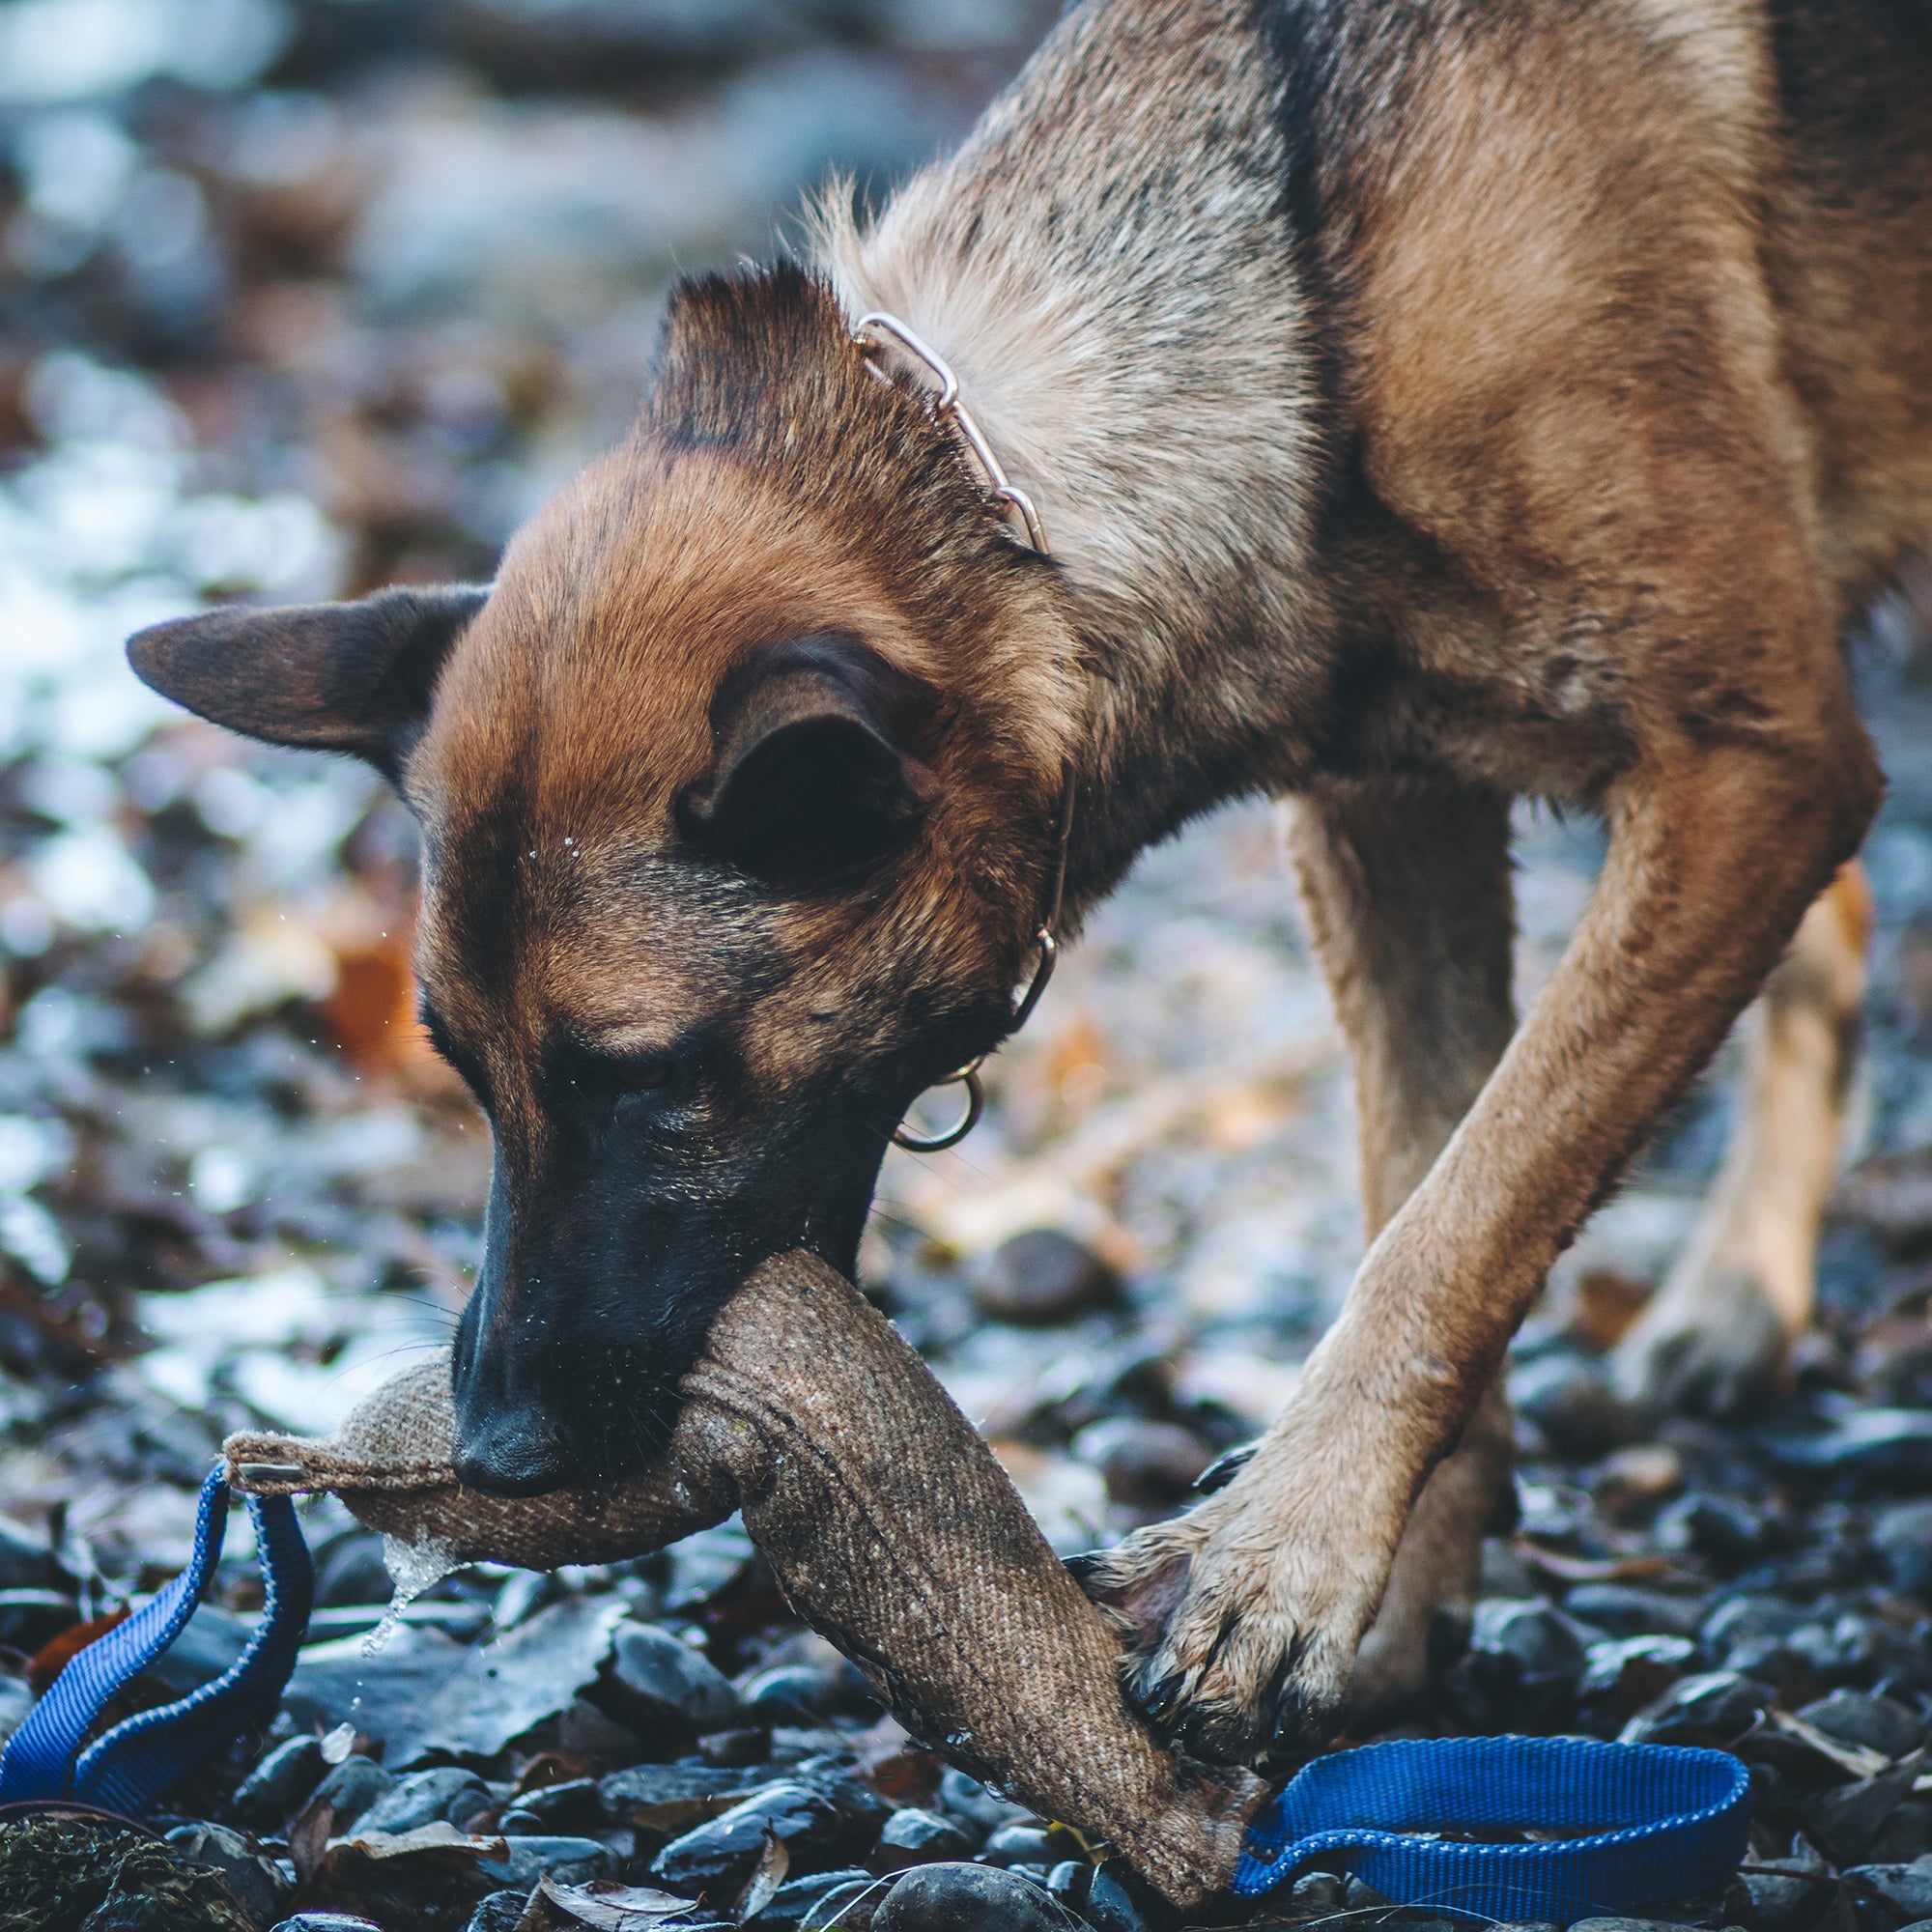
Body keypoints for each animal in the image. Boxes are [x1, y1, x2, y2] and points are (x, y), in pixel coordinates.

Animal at [132, 0, 1932, 1770]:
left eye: (645, 1079)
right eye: (462, 1070)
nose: (499, 1455)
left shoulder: (1752, 769)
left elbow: (1460, 1217)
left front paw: (1284, 1562)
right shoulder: (1399, 823)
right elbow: (1424, 1170)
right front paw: (1396, 1602)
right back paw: (1741, 1294)